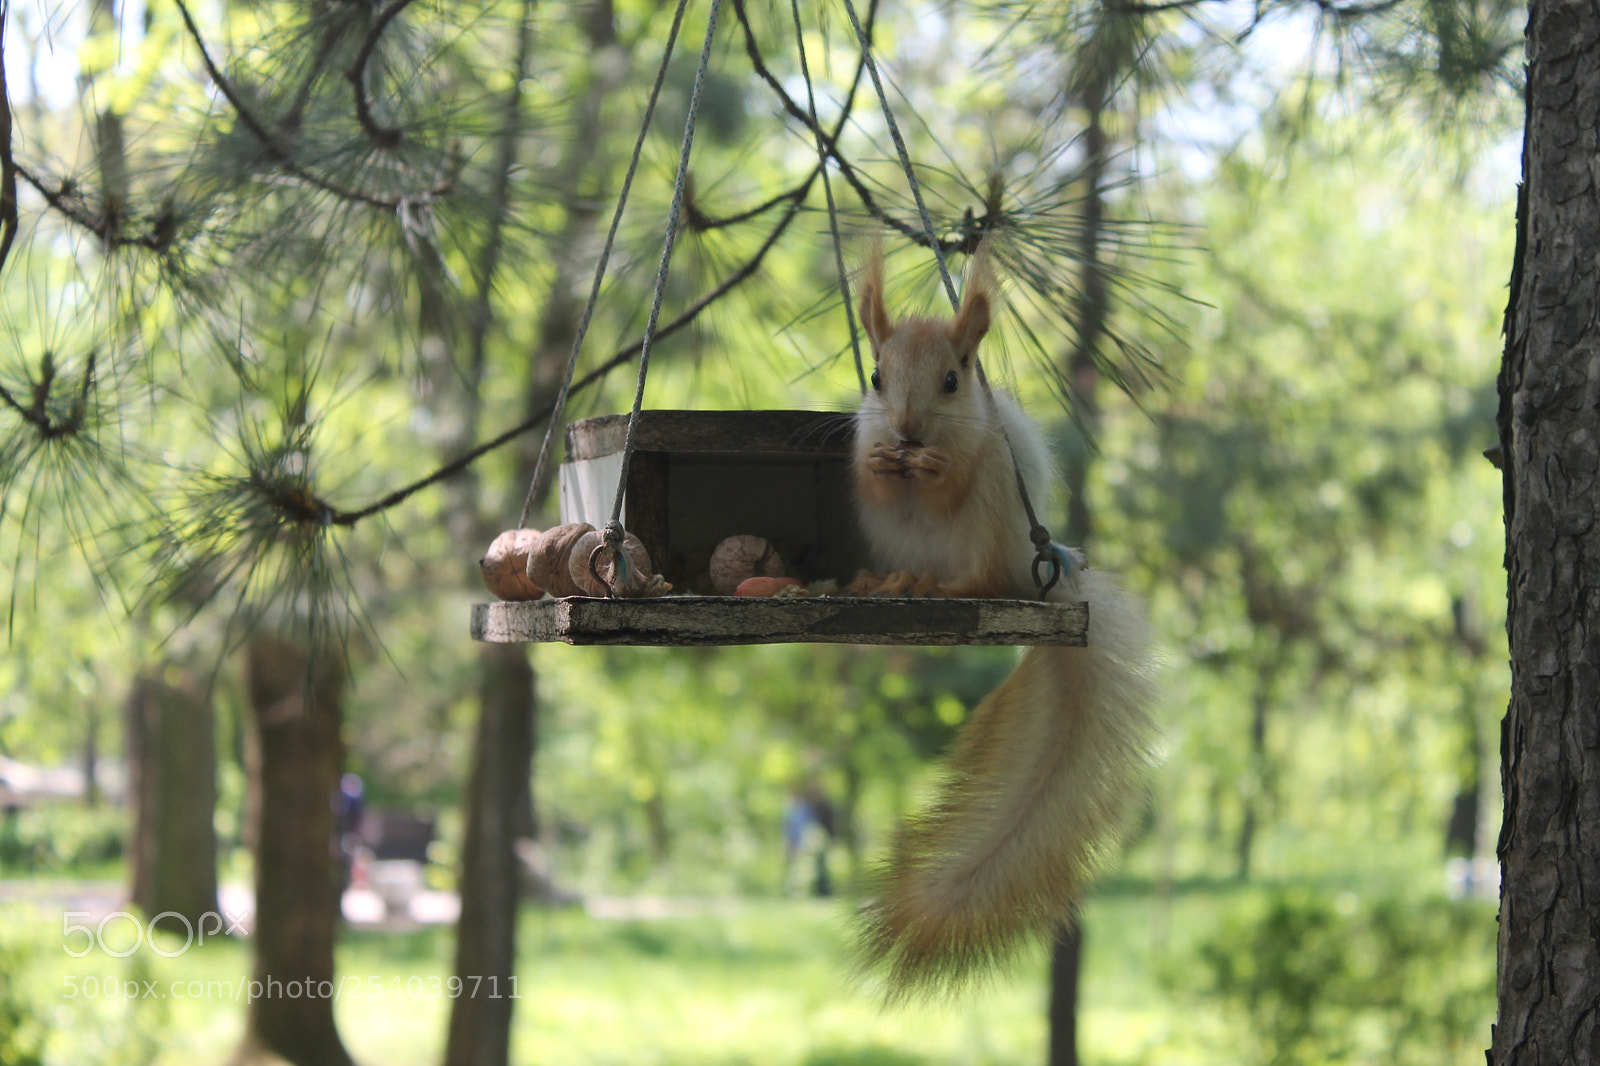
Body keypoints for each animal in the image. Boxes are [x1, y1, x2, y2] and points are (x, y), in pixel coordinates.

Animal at [846, 241, 1158, 1001]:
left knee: (980, 574)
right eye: (875, 377)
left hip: (997, 519)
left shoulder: (976, 446)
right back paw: (887, 580)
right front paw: (883, 462)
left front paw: (932, 465)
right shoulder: (862, 451)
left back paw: (941, 584)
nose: (907, 432)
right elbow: (870, 476)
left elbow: (950, 479)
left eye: (955, 382)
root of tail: (1035, 581)